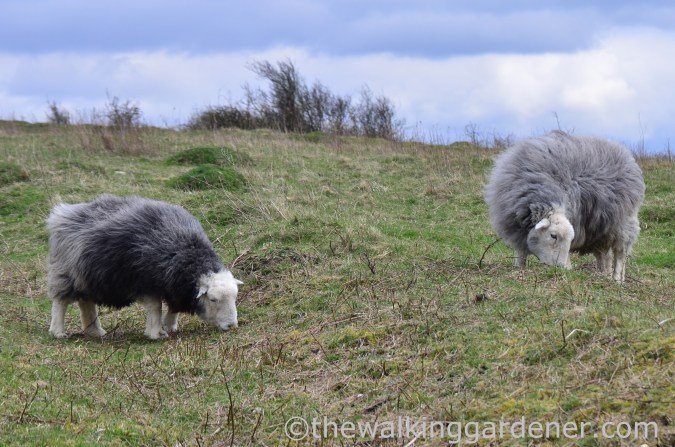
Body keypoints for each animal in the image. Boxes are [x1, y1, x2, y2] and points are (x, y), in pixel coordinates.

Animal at [47, 194, 243, 339]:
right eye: (213, 299)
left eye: (234, 297)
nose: (231, 325)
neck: (185, 250)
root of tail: (63, 213)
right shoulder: (148, 282)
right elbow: (156, 307)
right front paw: (156, 333)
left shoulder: (173, 285)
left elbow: (173, 308)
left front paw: (170, 327)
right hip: (65, 272)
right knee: (61, 302)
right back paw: (58, 332)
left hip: (87, 276)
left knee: (86, 302)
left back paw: (95, 332)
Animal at [484, 131, 645, 282]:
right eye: (553, 235)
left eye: (570, 239)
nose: (561, 268)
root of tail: (622, 151)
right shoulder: (517, 230)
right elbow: (521, 253)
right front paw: (519, 269)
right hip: (601, 229)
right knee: (604, 254)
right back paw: (602, 275)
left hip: (623, 223)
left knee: (620, 253)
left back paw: (617, 280)